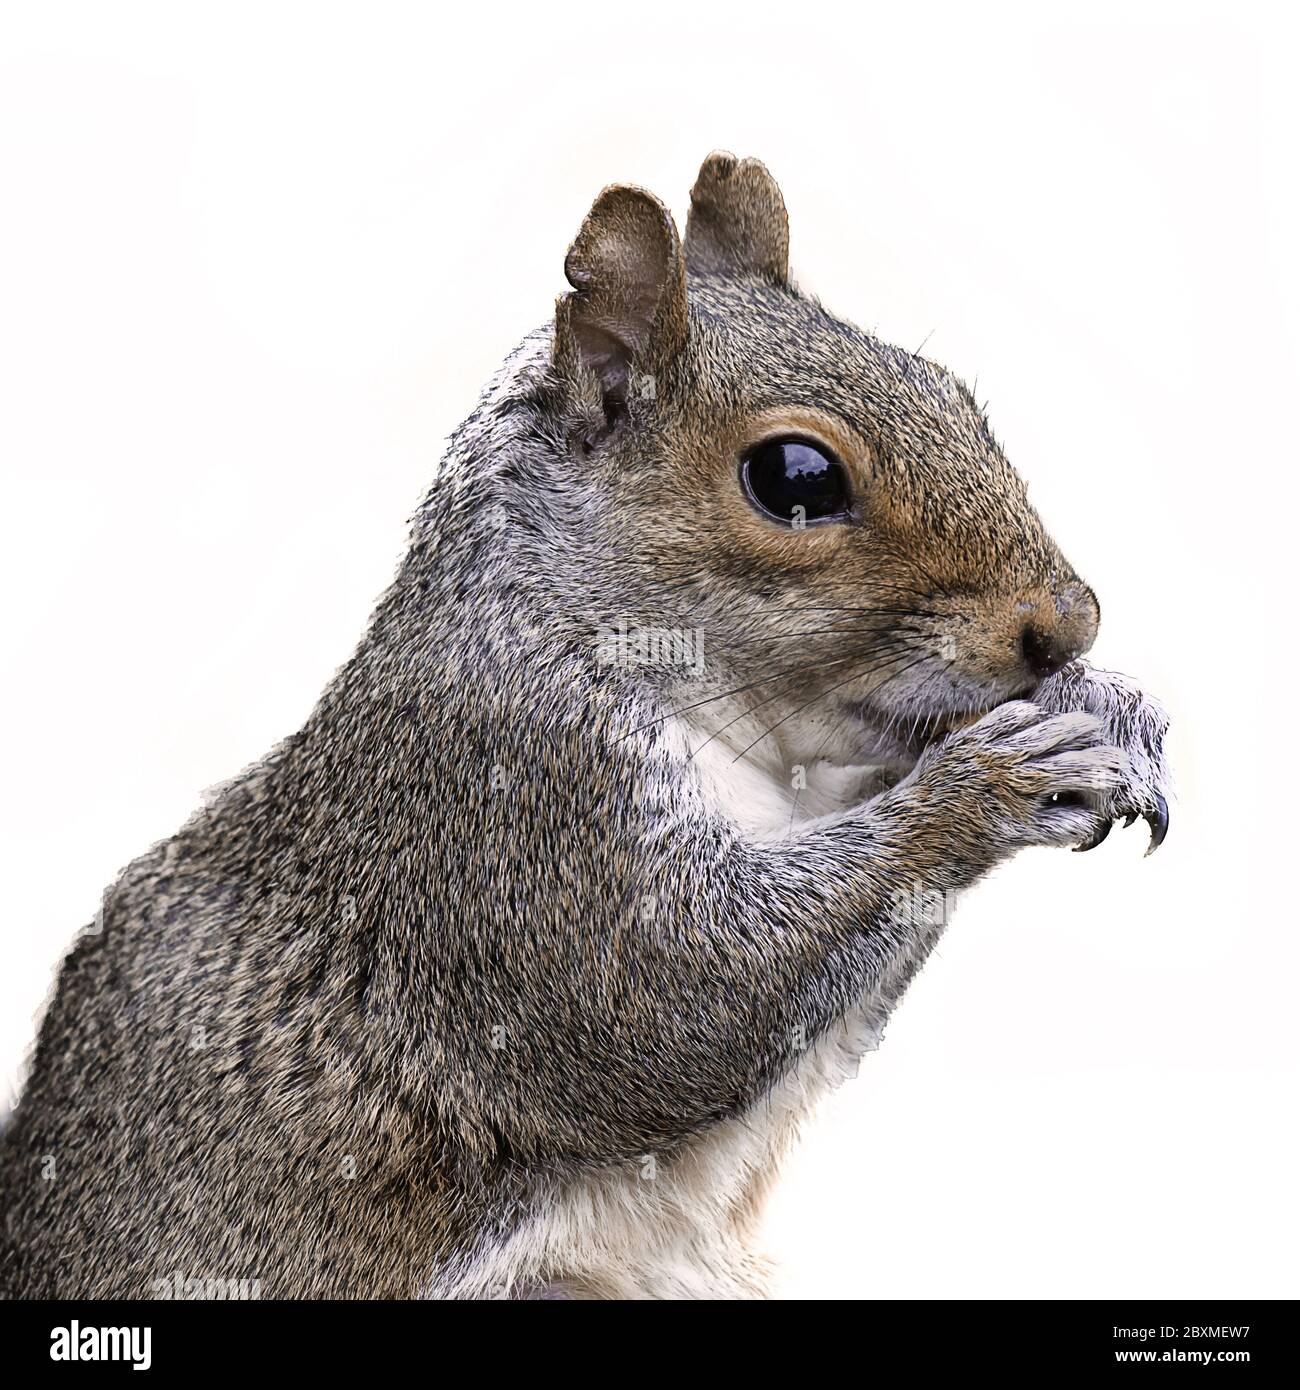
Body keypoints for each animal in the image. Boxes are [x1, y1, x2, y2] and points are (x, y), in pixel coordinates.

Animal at [0, 152, 1170, 1300]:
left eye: (954, 395)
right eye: (794, 477)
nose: (1066, 623)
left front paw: (1100, 706)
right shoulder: (510, 810)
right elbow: (670, 996)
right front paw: (992, 782)